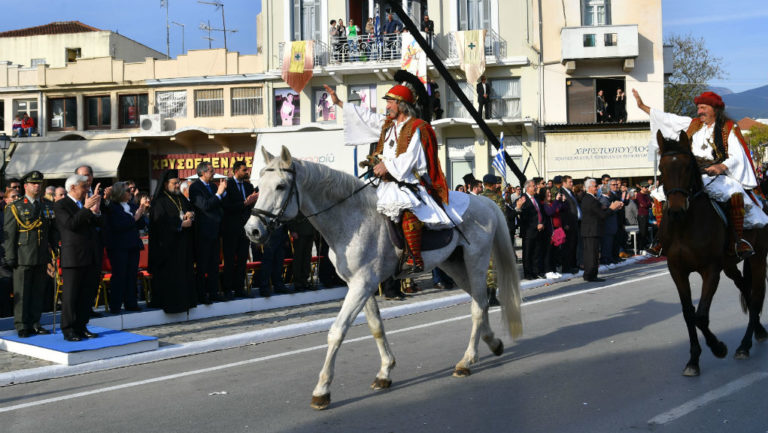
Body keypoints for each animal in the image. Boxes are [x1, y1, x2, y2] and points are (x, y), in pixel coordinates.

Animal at [246, 145, 520, 408]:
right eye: (259, 185)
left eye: (281, 186)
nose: (252, 230)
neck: (351, 219)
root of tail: (485, 203)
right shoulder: (359, 284)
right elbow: (376, 326)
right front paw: (385, 372)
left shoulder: (362, 284)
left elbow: (337, 331)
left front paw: (322, 390)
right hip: (453, 265)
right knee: (480, 301)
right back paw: (491, 343)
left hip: (476, 261)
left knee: (477, 306)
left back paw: (466, 361)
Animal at [656, 131, 768, 374]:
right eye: (661, 167)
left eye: (688, 166)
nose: (676, 210)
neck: (685, 226)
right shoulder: (677, 270)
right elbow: (689, 313)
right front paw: (693, 360)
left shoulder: (710, 270)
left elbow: (701, 315)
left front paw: (718, 348)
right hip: (730, 264)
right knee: (745, 289)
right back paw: (758, 331)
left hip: (757, 258)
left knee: (755, 297)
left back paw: (744, 345)